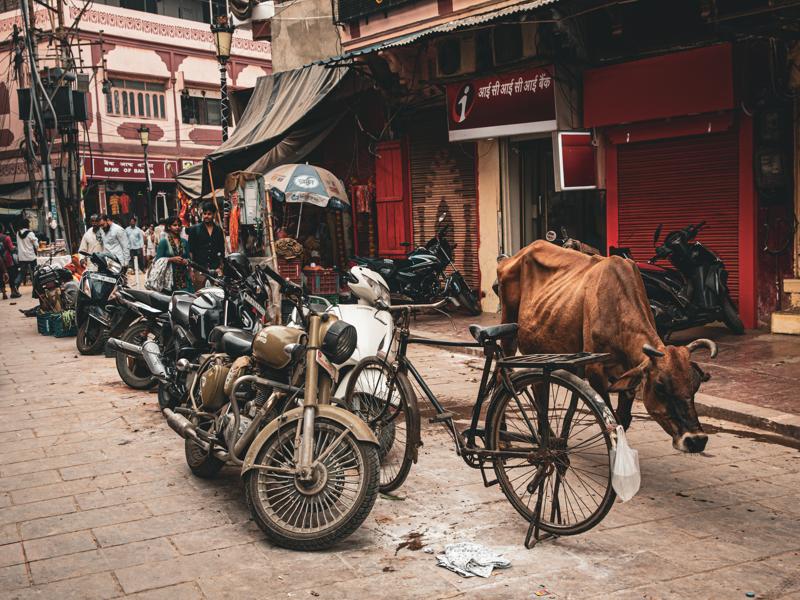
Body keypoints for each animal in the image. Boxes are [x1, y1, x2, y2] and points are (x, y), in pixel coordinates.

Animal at [496, 241, 716, 452]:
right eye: (660, 386)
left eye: (695, 385)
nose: (696, 440)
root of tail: (512, 257)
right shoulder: (595, 372)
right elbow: (613, 419)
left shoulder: (627, 377)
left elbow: (623, 419)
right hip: (508, 332)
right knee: (501, 375)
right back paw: (503, 438)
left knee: (538, 386)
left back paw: (546, 434)